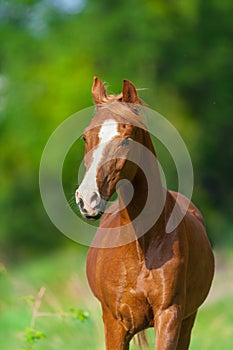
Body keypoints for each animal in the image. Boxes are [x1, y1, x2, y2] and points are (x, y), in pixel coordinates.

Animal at [75, 77, 214, 350]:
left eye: (127, 139)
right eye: (86, 137)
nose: (87, 199)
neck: (141, 248)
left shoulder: (170, 316)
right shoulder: (115, 324)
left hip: (188, 322)